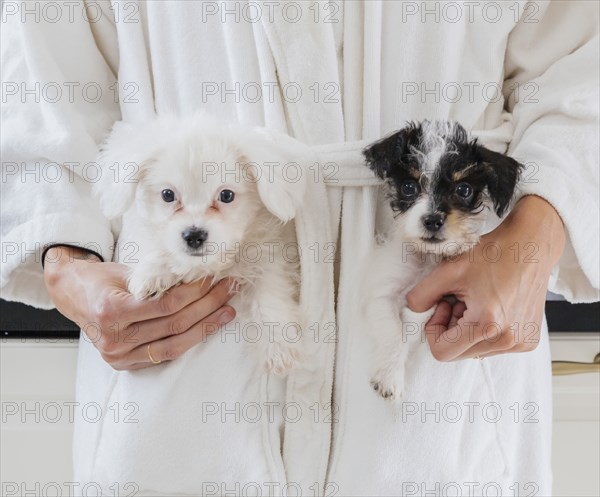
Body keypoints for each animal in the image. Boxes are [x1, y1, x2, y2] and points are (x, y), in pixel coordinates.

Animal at [96, 114, 308, 374]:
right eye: (167, 195)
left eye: (226, 195)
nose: (194, 235)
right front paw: (152, 272)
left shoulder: (269, 256)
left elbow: (269, 292)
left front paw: (279, 347)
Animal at [364, 119, 524, 400]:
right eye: (409, 187)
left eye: (464, 189)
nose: (433, 220)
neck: (427, 257)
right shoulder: (382, 294)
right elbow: (394, 332)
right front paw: (389, 378)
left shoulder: (428, 301)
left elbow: (409, 329)